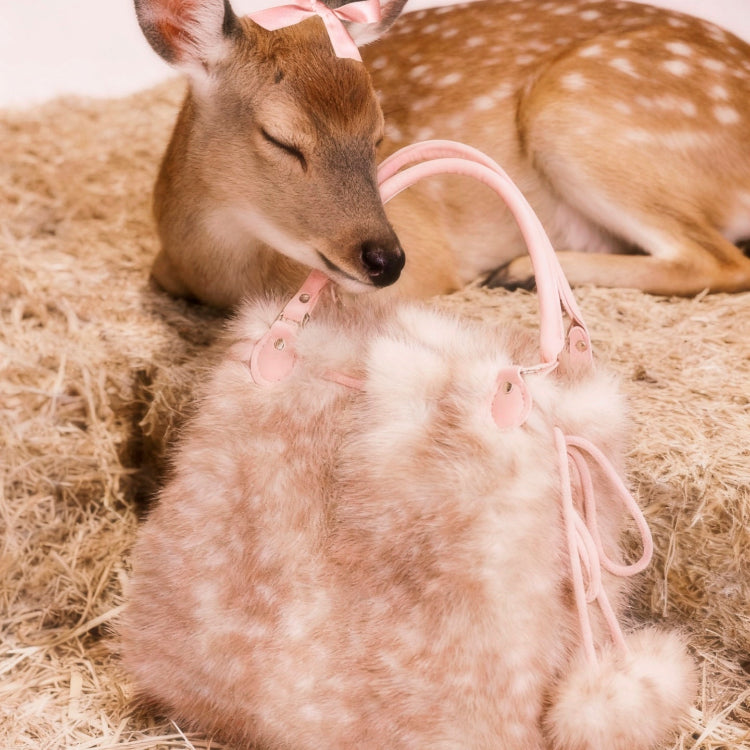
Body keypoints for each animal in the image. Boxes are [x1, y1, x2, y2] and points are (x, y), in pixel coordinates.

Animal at [134, 0, 750, 308]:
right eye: (281, 138)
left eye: (379, 134)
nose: (386, 259)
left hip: (572, 112)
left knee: (718, 259)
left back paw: (518, 271)